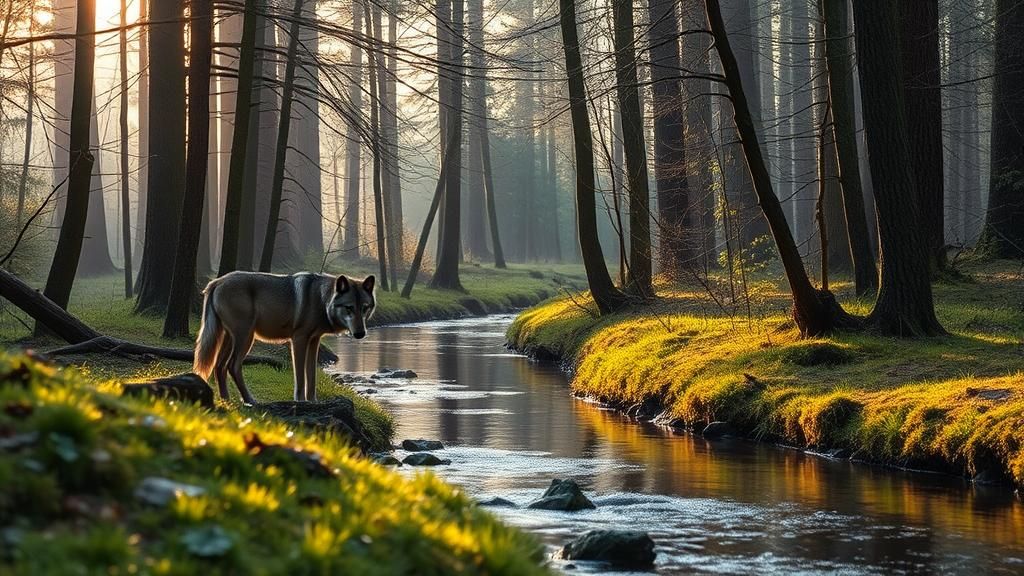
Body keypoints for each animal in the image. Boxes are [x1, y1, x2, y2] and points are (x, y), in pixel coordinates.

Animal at [192, 271, 376, 404]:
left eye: (365, 308)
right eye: (349, 308)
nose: (360, 334)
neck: (321, 300)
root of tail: (217, 282)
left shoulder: (314, 341)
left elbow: (311, 376)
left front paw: (313, 402)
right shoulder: (299, 339)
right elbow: (300, 378)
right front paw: (301, 402)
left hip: (230, 339)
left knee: (219, 366)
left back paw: (226, 400)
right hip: (245, 338)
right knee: (232, 366)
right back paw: (249, 400)